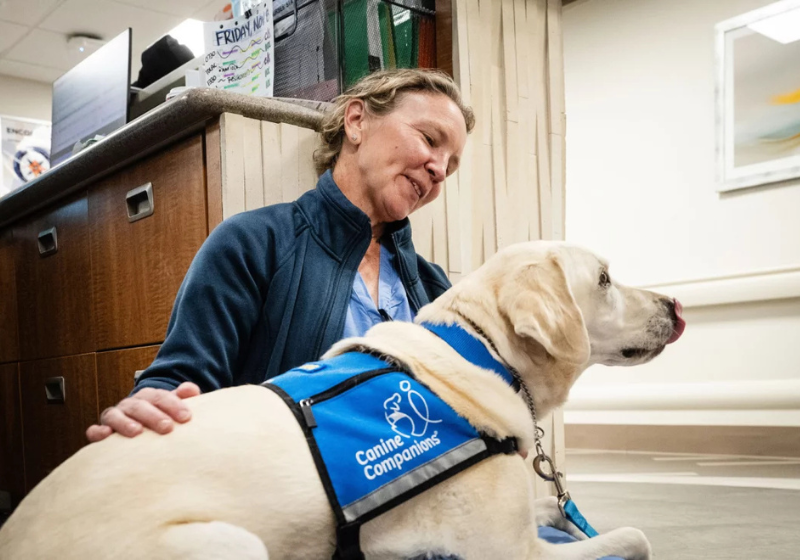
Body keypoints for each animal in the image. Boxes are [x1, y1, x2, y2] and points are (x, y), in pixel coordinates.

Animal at [0, 241, 688, 560]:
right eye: (604, 279)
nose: (676, 305)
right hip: (228, 544)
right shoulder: (507, 553)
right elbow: (633, 535)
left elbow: (553, 504)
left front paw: (561, 507)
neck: (478, 349)